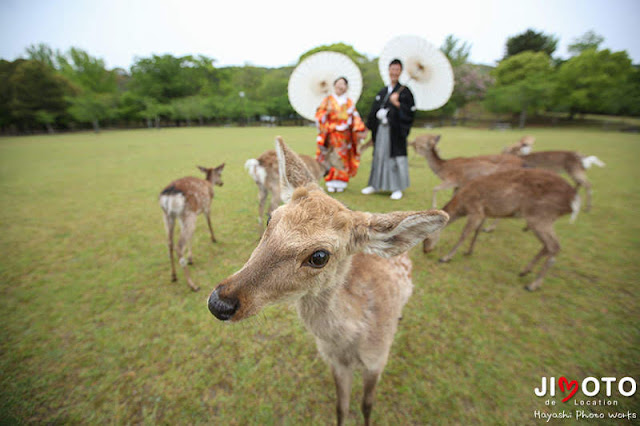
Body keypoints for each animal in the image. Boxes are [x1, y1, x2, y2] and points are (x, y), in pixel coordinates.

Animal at [159, 162, 225, 290]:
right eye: (220, 174)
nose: (221, 183)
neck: (209, 183)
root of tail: (168, 196)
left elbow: (191, 236)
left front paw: (190, 258)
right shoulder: (207, 206)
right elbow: (209, 222)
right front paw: (214, 239)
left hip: (168, 216)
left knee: (169, 242)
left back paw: (174, 276)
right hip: (188, 213)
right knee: (179, 245)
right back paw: (192, 285)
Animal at [208, 137, 448, 426]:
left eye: (320, 256)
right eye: (271, 219)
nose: (219, 302)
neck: (349, 344)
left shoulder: (378, 360)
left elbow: (367, 405)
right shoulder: (334, 363)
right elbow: (341, 407)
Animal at [424, 168, 580, 292]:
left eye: (426, 237)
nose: (425, 251)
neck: (463, 205)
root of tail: (573, 201)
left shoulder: (476, 210)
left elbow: (464, 234)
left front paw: (445, 257)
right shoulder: (484, 212)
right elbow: (477, 231)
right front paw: (469, 251)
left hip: (540, 215)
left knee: (554, 246)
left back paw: (532, 285)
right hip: (545, 218)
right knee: (548, 246)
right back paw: (524, 271)